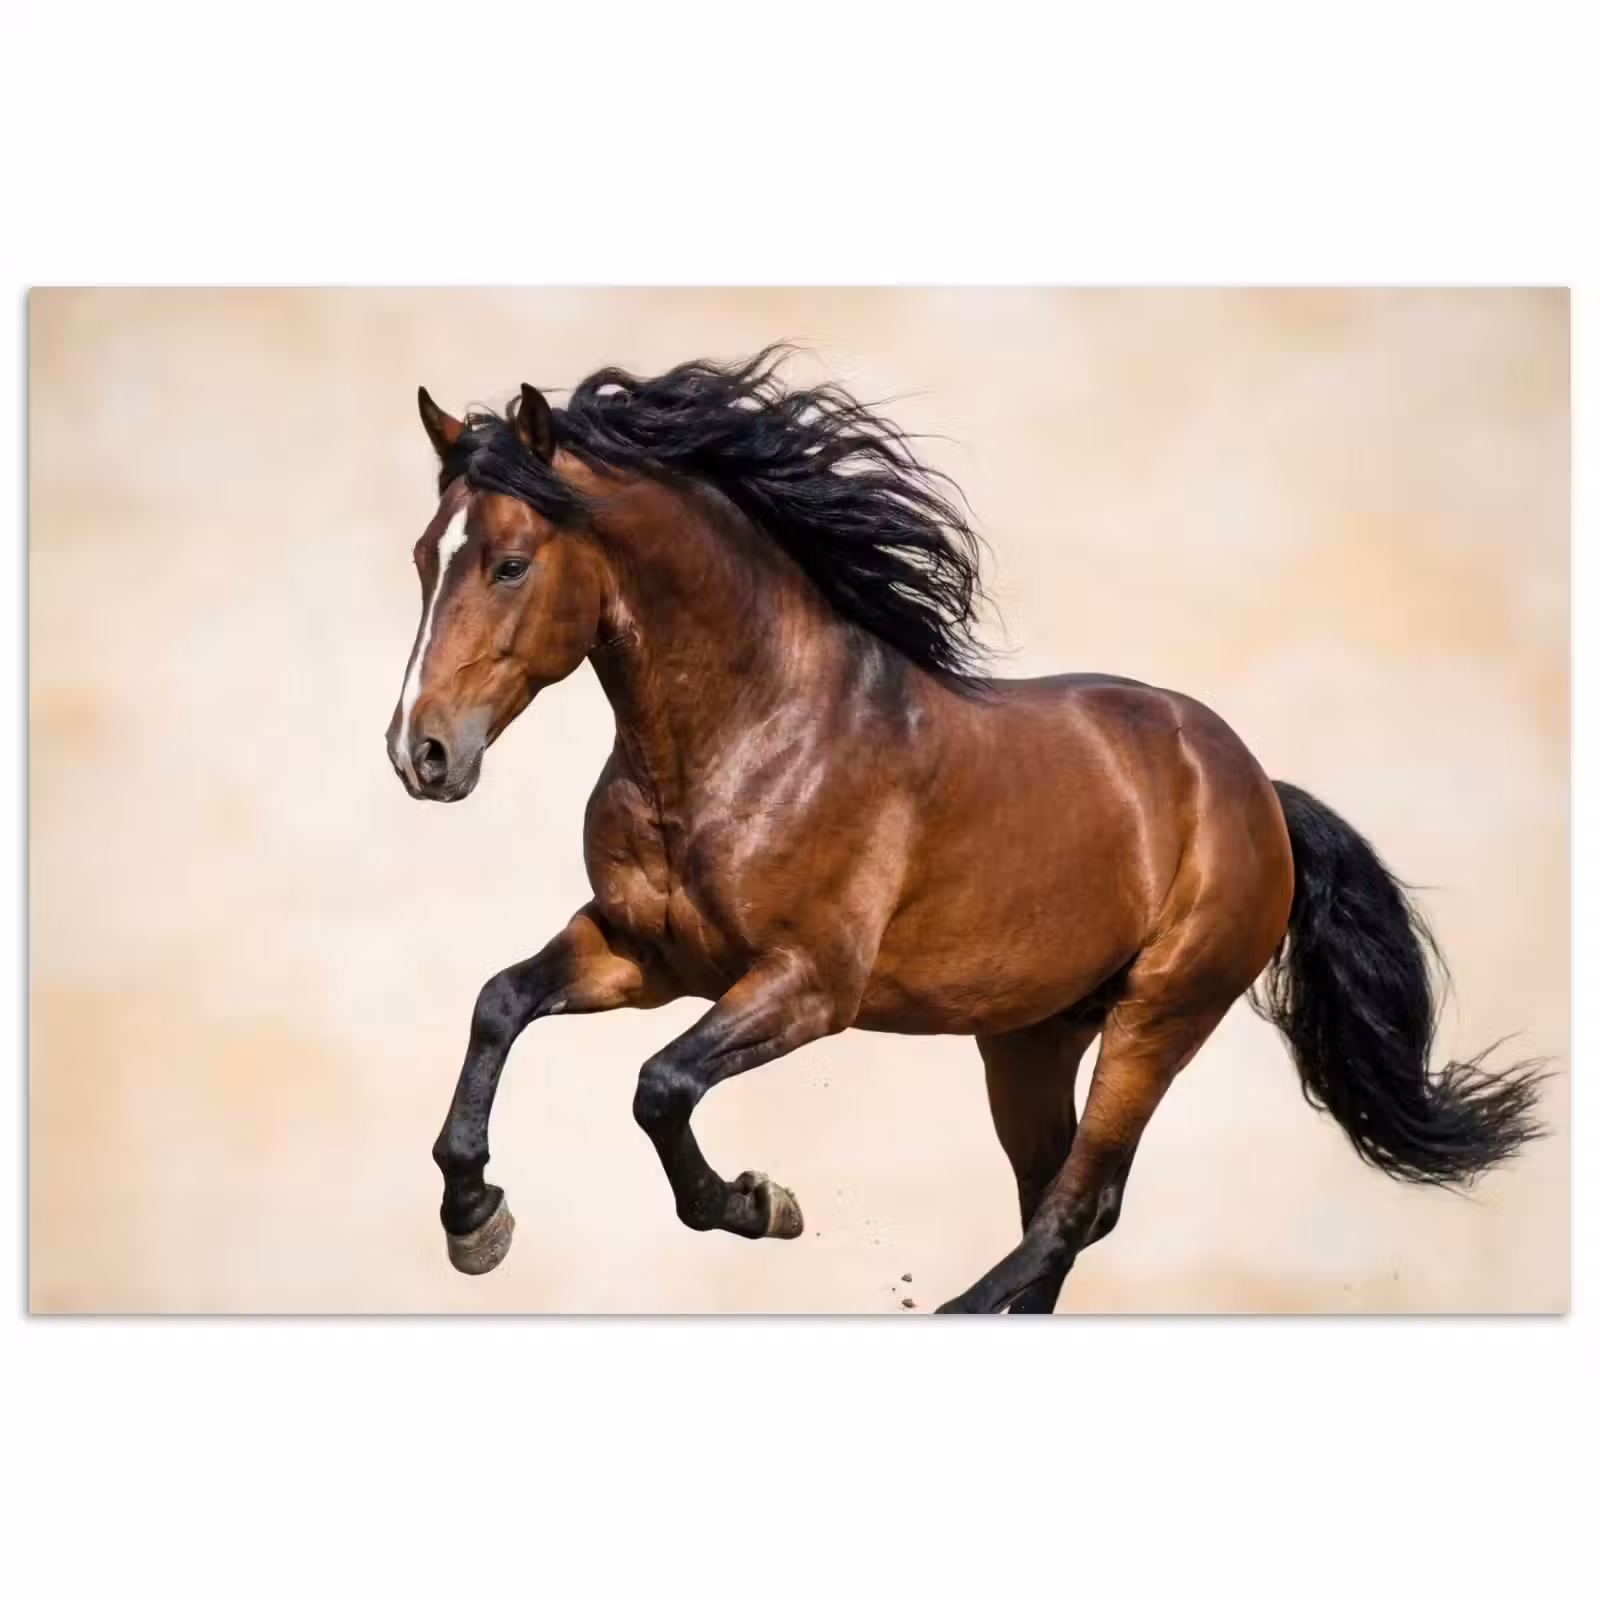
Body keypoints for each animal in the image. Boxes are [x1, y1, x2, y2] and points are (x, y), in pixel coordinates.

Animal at [386, 348, 1545, 1313]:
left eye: (509, 563)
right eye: (424, 557)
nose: (420, 752)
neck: (747, 734)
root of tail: (1256, 786)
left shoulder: (808, 985)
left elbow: (660, 1087)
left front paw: (761, 1203)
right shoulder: (644, 953)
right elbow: (500, 1004)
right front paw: (474, 1220)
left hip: (1161, 1015)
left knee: (1073, 1209)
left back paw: (956, 1304)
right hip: (1029, 1035)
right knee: (1065, 1201)